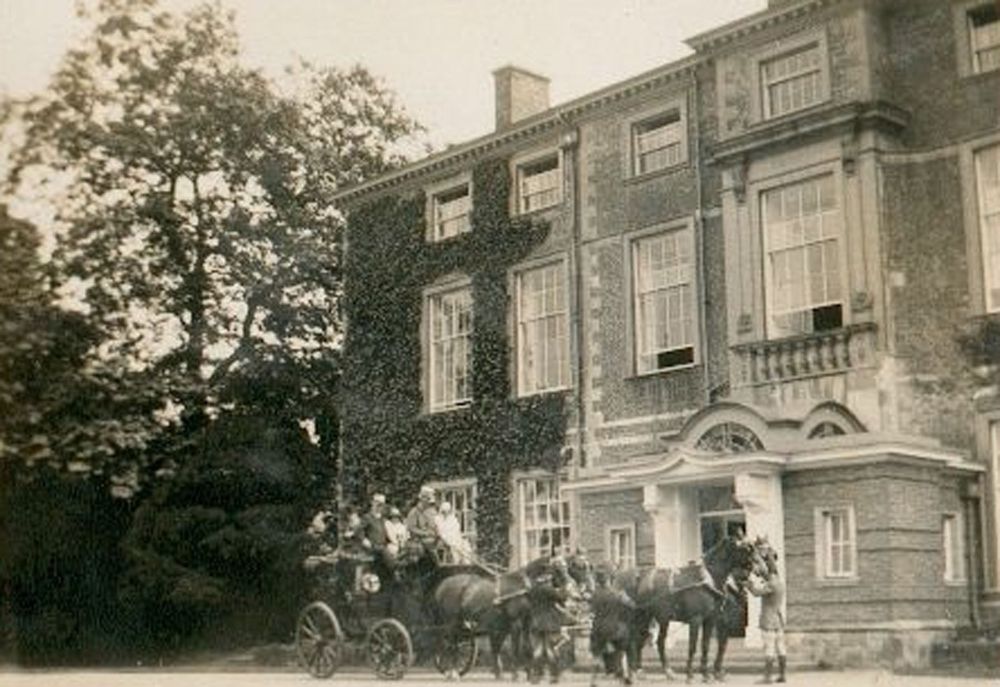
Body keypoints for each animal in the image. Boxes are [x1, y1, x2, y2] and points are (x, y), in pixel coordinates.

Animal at [432, 552, 592, 680]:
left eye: (567, 567)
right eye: (558, 568)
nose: (579, 593)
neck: (526, 587)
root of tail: (442, 585)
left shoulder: (527, 622)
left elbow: (527, 647)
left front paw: (529, 674)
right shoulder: (516, 623)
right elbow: (516, 648)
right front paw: (516, 674)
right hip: (452, 622)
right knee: (451, 645)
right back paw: (453, 672)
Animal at [612, 536, 760, 684]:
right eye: (745, 548)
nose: (757, 569)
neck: (707, 579)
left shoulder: (710, 619)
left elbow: (705, 645)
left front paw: (705, 675)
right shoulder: (696, 619)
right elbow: (692, 646)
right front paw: (690, 675)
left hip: (660, 618)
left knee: (652, 641)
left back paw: (660, 672)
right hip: (643, 617)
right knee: (635, 641)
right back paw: (634, 673)